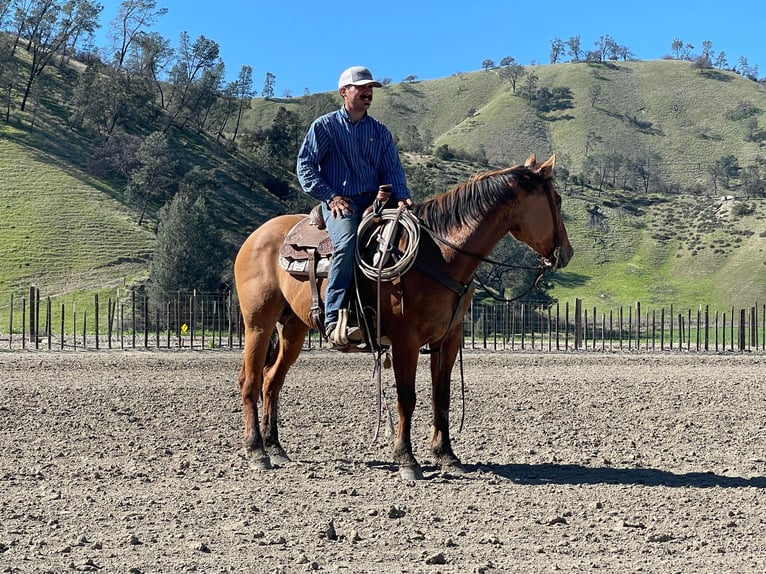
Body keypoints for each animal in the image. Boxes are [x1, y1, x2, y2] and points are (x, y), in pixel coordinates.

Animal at [237, 153, 572, 482]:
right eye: (556, 200)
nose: (566, 253)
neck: (439, 255)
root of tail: (257, 236)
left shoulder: (448, 339)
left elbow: (441, 394)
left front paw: (447, 456)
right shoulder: (405, 341)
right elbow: (406, 397)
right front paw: (406, 460)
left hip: (293, 328)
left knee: (272, 381)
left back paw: (276, 448)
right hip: (258, 324)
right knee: (251, 381)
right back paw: (257, 452)